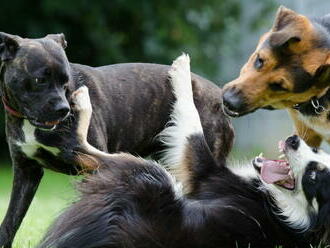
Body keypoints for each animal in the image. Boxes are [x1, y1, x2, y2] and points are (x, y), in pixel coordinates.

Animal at [0, 33, 233, 248]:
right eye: (39, 80)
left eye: (65, 82)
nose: (64, 109)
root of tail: (220, 97)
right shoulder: (26, 172)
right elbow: (11, 219)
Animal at [37, 54, 328, 248]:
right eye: (317, 150)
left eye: (313, 176)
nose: (293, 140)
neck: (286, 211)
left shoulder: (205, 172)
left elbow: (191, 123)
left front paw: (181, 71)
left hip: (151, 173)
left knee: (82, 148)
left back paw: (82, 102)